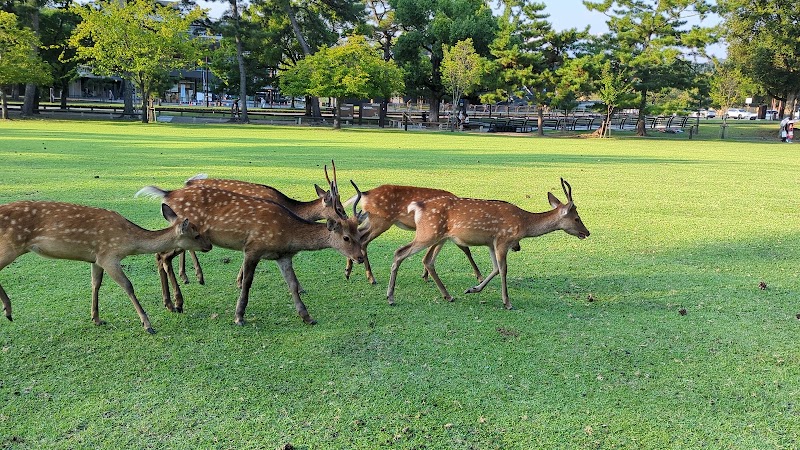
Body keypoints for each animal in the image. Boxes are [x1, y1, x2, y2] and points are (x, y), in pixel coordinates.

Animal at [0, 201, 212, 334]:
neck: (129, 243)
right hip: (11, 245)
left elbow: (95, 284)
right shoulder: (109, 256)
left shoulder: (96, 259)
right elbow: (128, 286)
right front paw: (148, 325)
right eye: (196, 235)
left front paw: (96, 318)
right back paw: (8, 309)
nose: (209, 245)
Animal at [135, 184, 366, 326]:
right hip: (185, 237)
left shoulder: (283, 256)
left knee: (161, 257)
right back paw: (176, 302)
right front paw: (239, 316)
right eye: (346, 238)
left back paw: (171, 303)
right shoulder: (253, 248)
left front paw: (307, 317)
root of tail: (167, 195)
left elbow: (292, 284)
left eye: (359, 233)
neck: (288, 232)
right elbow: (247, 283)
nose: (360, 257)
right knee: (162, 256)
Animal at [342, 184, 482, 284]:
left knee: (358, 234)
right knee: (364, 241)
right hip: (381, 221)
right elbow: (466, 249)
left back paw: (348, 271)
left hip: (371, 220)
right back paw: (371, 278)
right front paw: (479, 276)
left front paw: (425, 275)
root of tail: (365, 194)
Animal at [384, 179, 592, 310]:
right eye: (576, 218)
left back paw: (448, 295)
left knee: (427, 260)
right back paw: (391, 297)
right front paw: (507, 303)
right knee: (400, 252)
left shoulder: (491, 243)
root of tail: (417, 207)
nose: (587, 232)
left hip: (439, 237)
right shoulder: (503, 240)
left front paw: (473, 289)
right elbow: (504, 269)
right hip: (428, 233)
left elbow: (495, 269)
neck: (524, 224)